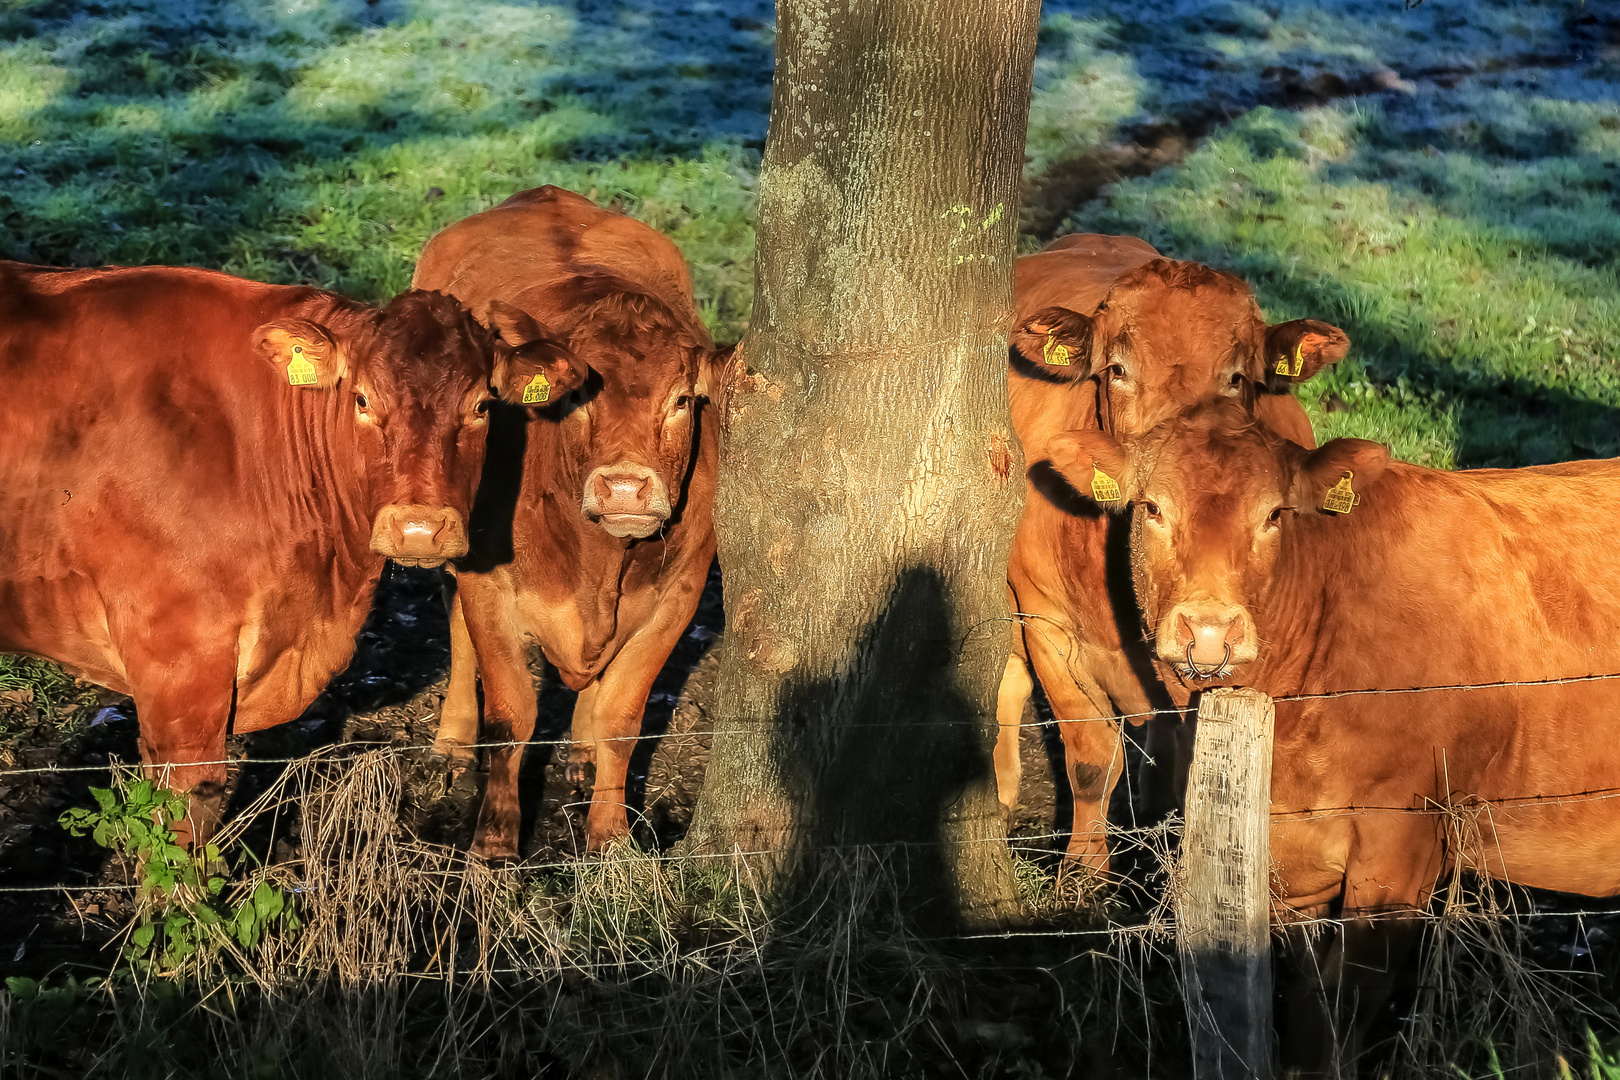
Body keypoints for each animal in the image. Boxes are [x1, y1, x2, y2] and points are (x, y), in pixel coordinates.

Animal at [414, 187, 732, 861]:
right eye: (580, 396)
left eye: (682, 400)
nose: (625, 487)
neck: (598, 563)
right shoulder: (490, 587)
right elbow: (511, 715)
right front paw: (494, 846)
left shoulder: (679, 597)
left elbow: (621, 719)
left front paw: (611, 840)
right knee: (456, 629)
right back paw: (452, 742)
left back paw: (581, 754)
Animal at [1049, 401, 1620, 1068]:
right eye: (1152, 508)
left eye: (1274, 514)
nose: (1210, 630)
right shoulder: (1295, 868)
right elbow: (1305, 1002)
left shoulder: (1402, 845)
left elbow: (1339, 1009)